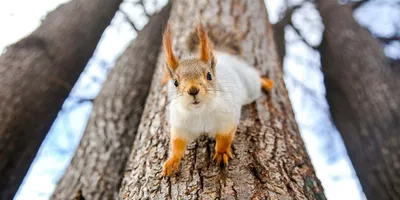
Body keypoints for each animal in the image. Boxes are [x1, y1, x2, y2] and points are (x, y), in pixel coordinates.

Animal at [161, 21, 274, 175]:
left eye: (209, 75)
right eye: (175, 83)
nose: (193, 90)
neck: (200, 111)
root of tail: (222, 54)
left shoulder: (228, 118)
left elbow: (225, 138)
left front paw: (221, 153)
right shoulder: (180, 125)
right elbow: (177, 144)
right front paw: (172, 160)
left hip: (250, 86)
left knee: (255, 78)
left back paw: (267, 83)